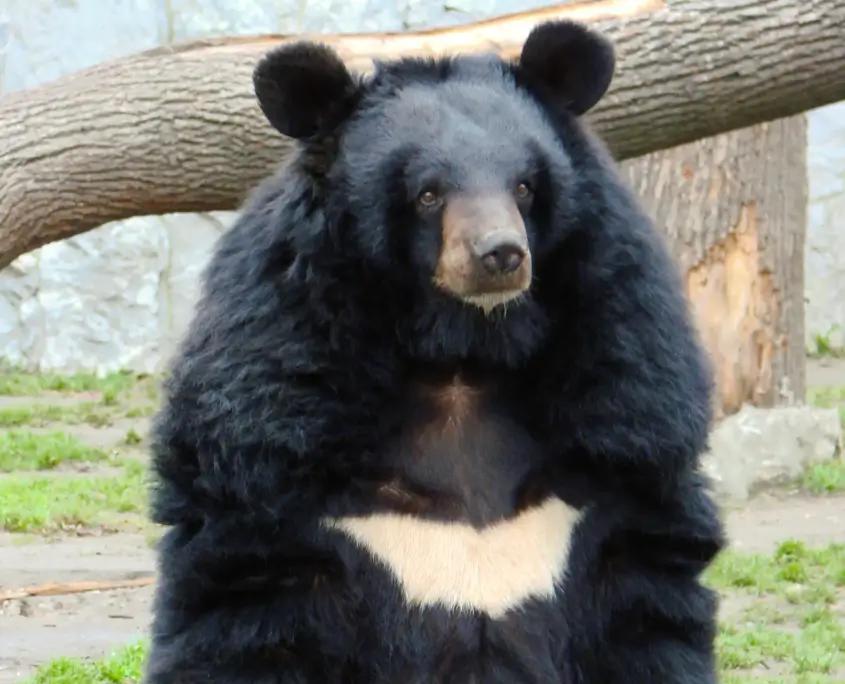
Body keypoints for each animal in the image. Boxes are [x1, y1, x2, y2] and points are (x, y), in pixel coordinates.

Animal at [144, 18, 726, 684]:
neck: (461, 350)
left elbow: (644, 604)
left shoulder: (627, 396)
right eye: (428, 193)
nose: (501, 254)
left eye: (525, 187)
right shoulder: (271, 412)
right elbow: (248, 609)